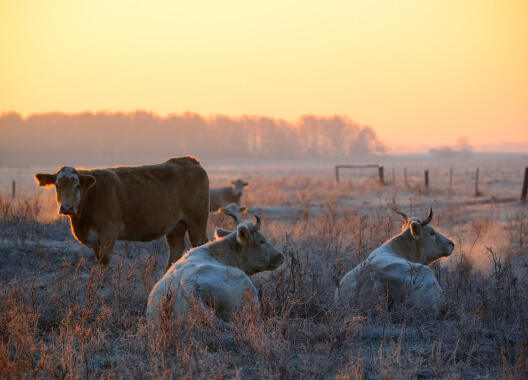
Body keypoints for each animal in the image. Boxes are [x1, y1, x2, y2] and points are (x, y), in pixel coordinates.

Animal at [33, 156, 208, 272]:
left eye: (77, 185)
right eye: (57, 186)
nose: (67, 207)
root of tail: (188, 160)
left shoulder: (109, 232)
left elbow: (105, 260)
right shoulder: (96, 239)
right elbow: (99, 260)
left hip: (197, 221)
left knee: (199, 244)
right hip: (175, 225)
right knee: (176, 247)